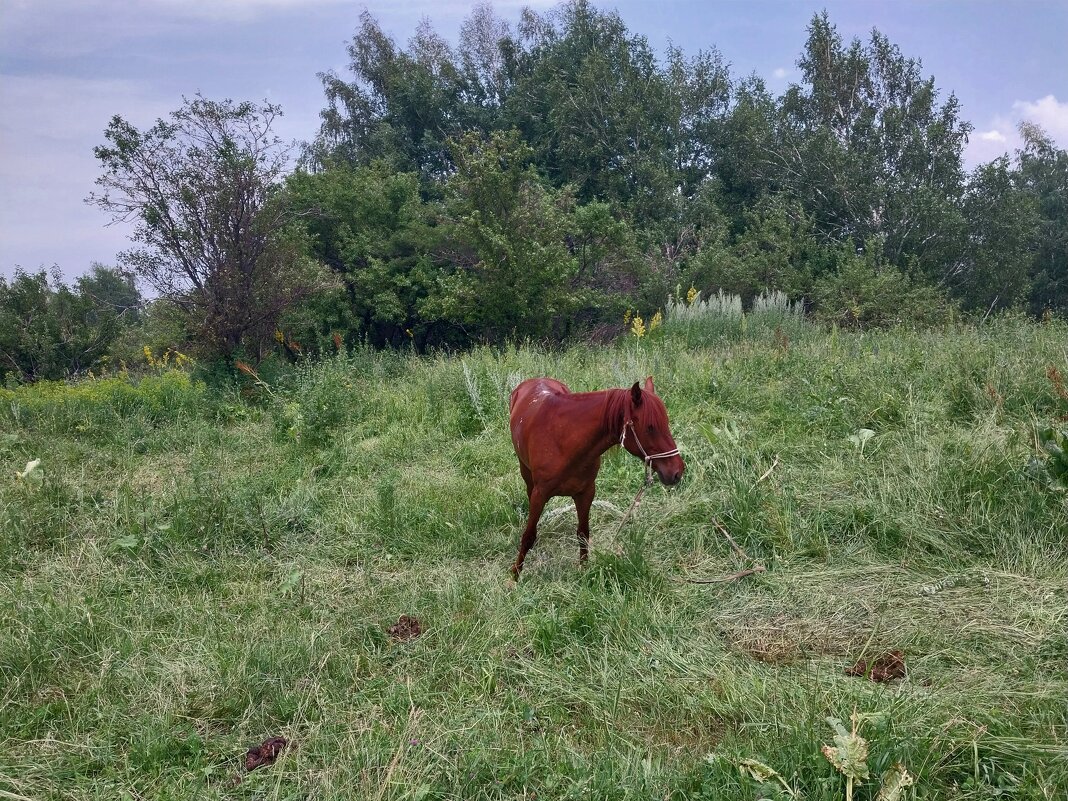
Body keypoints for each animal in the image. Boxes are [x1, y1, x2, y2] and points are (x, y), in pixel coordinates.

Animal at [506, 375, 683, 576]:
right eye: (650, 427)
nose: (677, 472)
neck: (563, 439)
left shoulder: (586, 492)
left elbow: (583, 533)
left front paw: (583, 571)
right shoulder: (540, 494)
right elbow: (528, 536)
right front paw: (515, 575)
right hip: (526, 473)